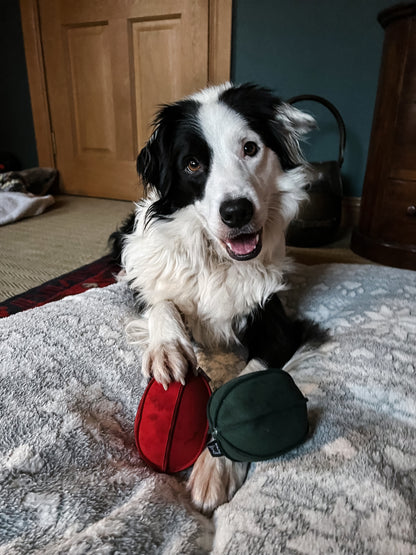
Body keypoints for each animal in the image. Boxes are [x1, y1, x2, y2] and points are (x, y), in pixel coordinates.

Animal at [112, 84, 320, 516]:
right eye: (192, 164)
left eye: (250, 148)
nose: (236, 212)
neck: (217, 260)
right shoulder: (149, 283)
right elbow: (160, 301)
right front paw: (168, 348)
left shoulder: (276, 321)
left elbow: (244, 382)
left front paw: (216, 463)